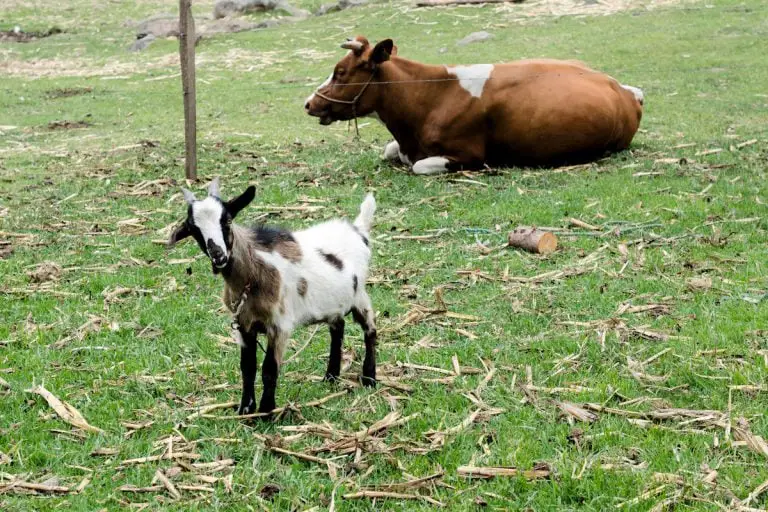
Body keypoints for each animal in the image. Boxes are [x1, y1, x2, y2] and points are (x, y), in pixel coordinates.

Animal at [168, 178, 377, 417]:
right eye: (193, 228)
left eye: (227, 219)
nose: (218, 255)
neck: (252, 274)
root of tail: (358, 230)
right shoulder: (243, 325)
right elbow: (247, 368)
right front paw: (246, 409)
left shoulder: (279, 325)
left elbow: (269, 369)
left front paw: (266, 411)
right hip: (334, 302)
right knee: (338, 328)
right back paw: (331, 376)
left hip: (359, 295)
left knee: (370, 329)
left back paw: (369, 378)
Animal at [305, 35, 644, 175]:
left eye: (340, 71)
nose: (309, 103)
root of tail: (623, 89)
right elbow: (389, 151)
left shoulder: (468, 155)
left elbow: (418, 166)